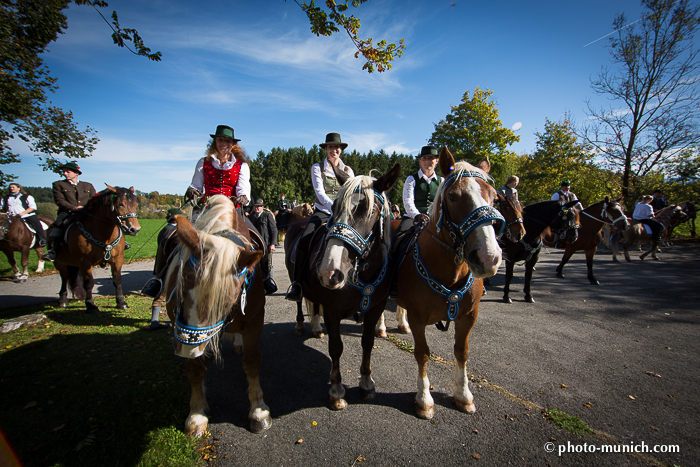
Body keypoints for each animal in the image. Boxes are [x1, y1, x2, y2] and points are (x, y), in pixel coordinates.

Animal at [52, 186, 140, 314]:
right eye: (121, 204)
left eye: (135, 204)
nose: (135, 229)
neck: (104, 234)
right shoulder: (84, 262)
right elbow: (89, 283)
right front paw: (90, 305)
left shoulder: (118, 259)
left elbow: (117, 280)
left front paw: (121, 302)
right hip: (60, 262)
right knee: (64, 277)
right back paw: (63, 299)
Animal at [161, 195, 266, 436]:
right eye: (182, 285)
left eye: (227, 300)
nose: (188, 349)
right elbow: (195, 370)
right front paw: (196, 415)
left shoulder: (255, 321)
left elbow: (252, 363)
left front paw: (258, 411)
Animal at [286, 164, 400, 410]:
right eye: (334, 207)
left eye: (371, 211)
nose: (329, 272)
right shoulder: (332, 311)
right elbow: (336, 347)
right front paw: (336, 390)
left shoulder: (375, 309)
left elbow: (367, 342)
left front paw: (366, 383)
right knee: (300, 302)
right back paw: (301, 326)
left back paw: (316, 328)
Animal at [394, 147, 504, 420]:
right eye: (453, 197)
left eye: (494, 197)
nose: (489, 258)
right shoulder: (418, 318)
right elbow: (422, 354)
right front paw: (424, 399)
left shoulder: (469, 316)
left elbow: (462, 352)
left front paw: (463, 395)